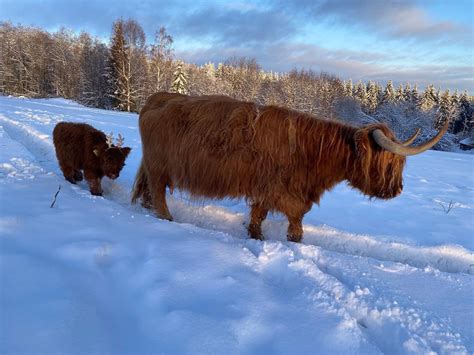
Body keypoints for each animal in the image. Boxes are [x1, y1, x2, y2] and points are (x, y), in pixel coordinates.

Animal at [131, 92, 448, 242]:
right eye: (389, 161)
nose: (397, 190)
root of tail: (157, 98)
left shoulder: (268, 190)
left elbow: (259, 215)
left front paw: (256, 235)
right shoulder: (284, 193)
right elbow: (295, 225)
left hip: (154, 165)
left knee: (149, 188)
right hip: (160, 166)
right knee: (157, 190)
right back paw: (167, 218)